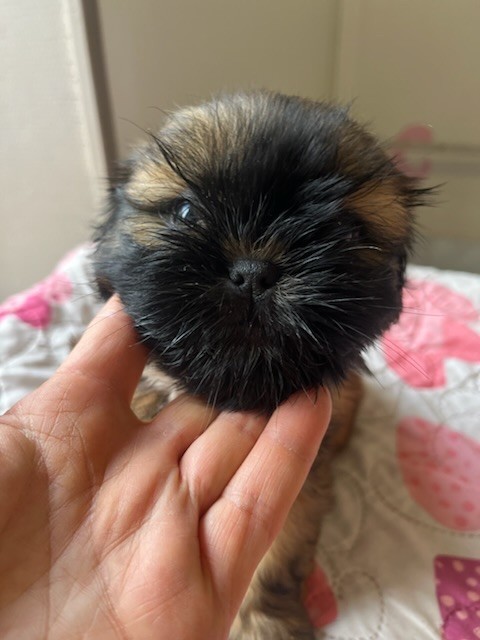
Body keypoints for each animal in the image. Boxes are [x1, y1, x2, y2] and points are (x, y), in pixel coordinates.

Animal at [93, 90, 428, 638]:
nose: (253, 271)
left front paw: (262, 622)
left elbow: (275, 559)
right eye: (185, 211)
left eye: (341, 231)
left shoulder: (300, 490)